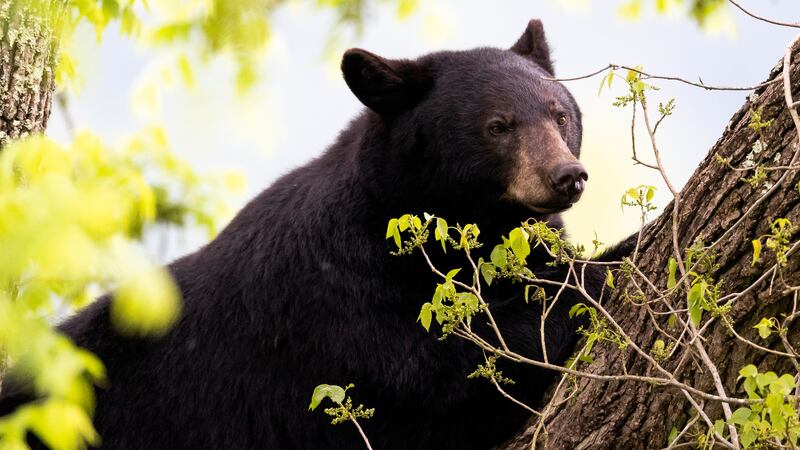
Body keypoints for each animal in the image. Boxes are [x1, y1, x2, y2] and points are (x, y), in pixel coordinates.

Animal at [1, 19, 633, 450]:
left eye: (559, 113)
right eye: (498, 126)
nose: (567, 176)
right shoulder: (335, 298)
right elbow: (444, 370)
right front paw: (613, 263)